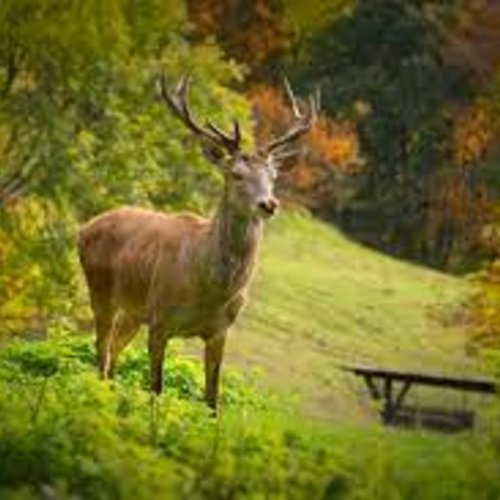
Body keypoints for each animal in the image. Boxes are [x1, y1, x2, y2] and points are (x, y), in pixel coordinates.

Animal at [79, 73, 316, 410]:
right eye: (236, 174)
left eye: (273, 175)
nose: (269, 204)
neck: (209, 290)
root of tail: (84, 227)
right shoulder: (160, 319)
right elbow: (156, 389)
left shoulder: (220, 331)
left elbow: (212, 399)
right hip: (100, 289)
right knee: (101, 347)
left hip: (133, 310)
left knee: (114, 349)